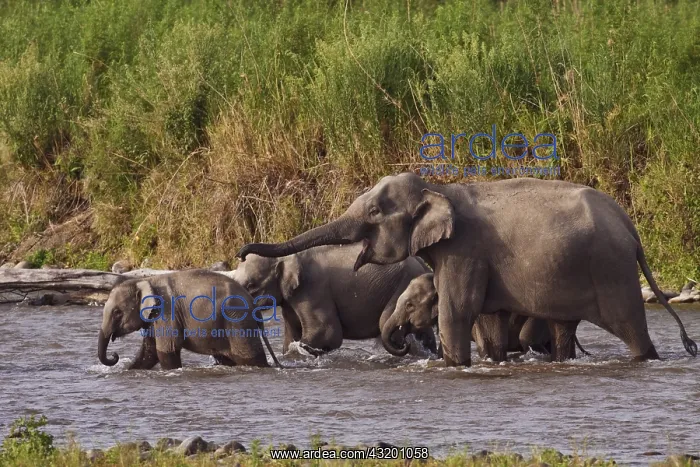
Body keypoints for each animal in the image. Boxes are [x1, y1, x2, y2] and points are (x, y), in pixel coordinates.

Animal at [97, 270, 283, 370]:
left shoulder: (166, 312)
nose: (115, 355)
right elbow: (149, 353)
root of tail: (252, 302)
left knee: (250, 357)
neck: (145, 280)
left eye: (117, 312)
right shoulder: (153, 318)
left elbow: (166, 350)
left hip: (237, 320)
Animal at [231, 244, 437, 356]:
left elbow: (327, 333)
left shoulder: (313, 289)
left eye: (251, 286)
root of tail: (421, 263)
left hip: (401, 285)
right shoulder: (290, 298)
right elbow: (291, 336)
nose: (239, 254)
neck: (288, 257)